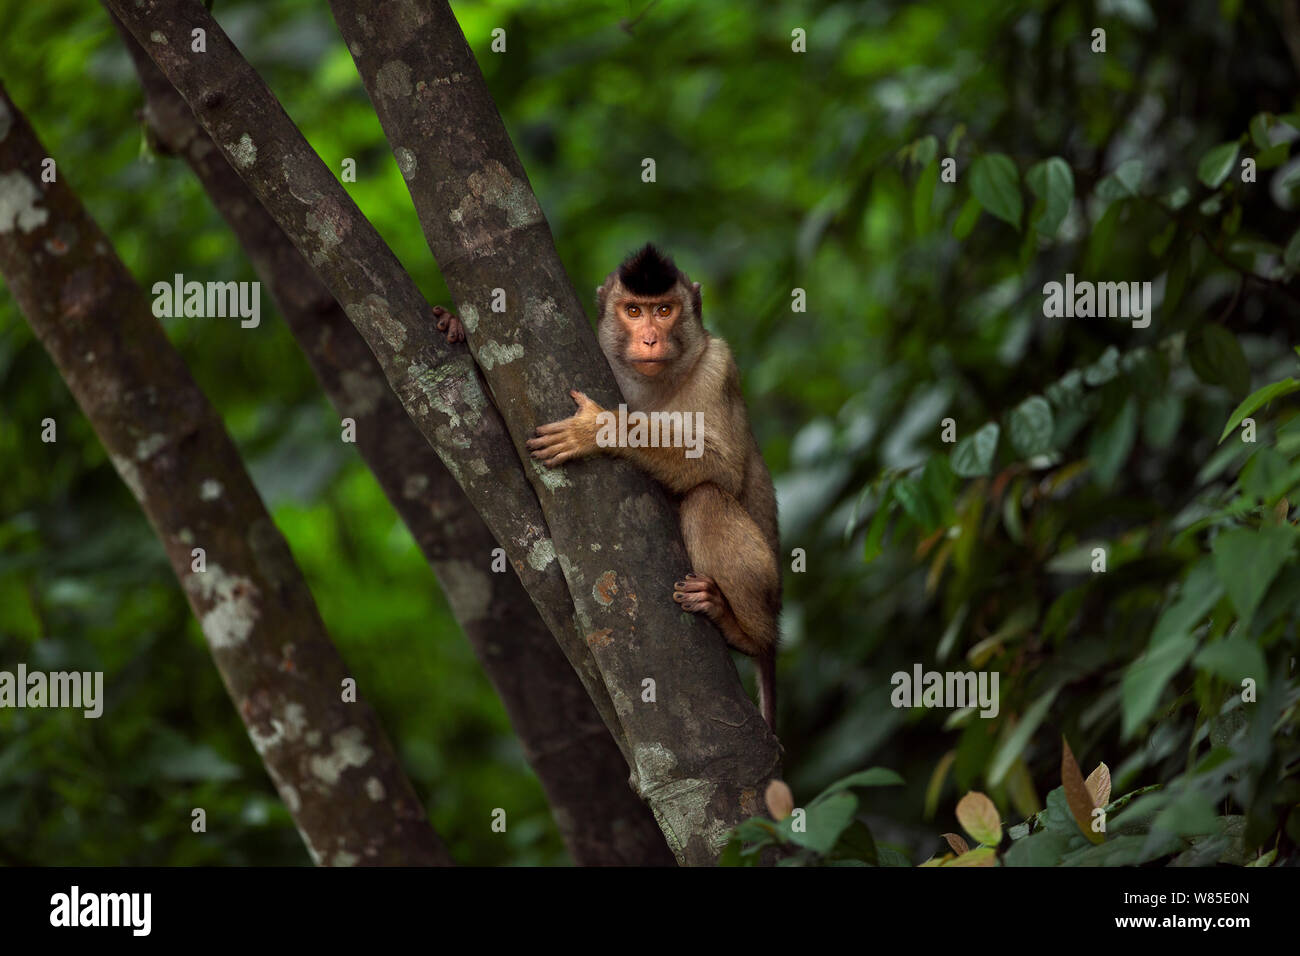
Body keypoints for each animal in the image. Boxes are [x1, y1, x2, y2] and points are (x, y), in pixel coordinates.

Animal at [525, 243, 780, 728]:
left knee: (705, 499)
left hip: (769, 583)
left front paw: (600, 429)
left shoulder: (717, 366)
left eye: (664, 310)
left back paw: (744, 632)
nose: (648, 339)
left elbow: (722, 468)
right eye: (633, 310)